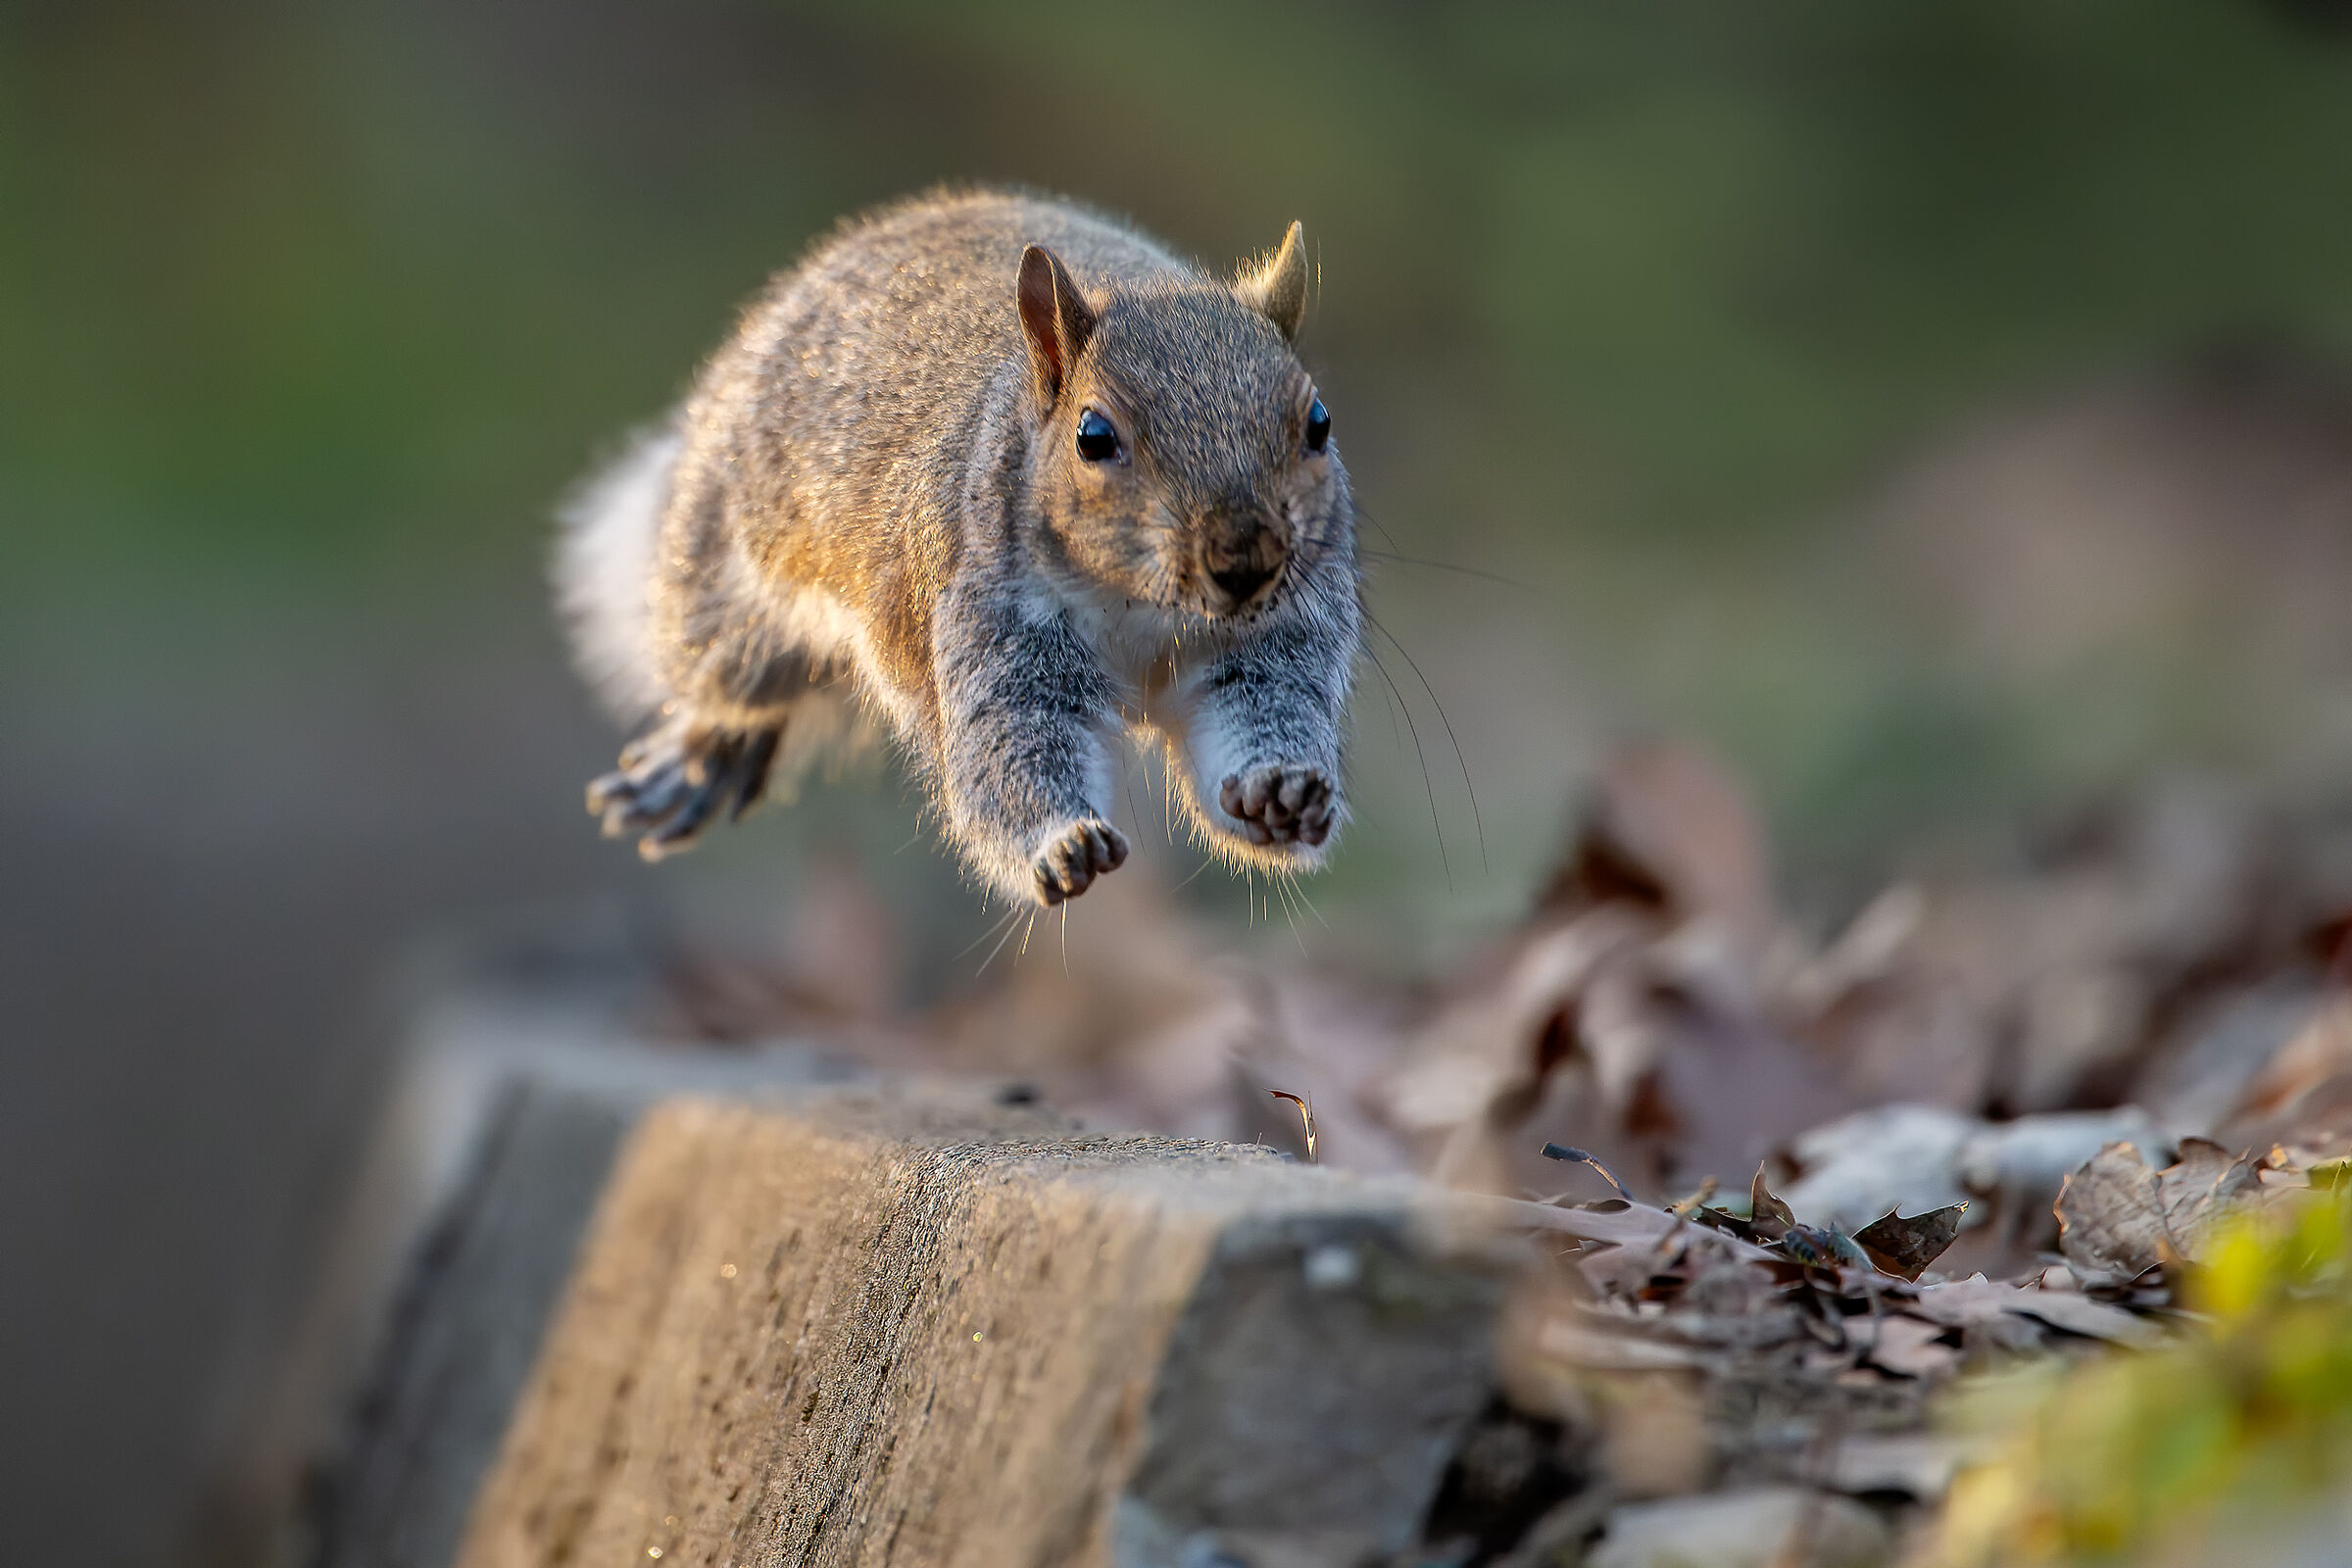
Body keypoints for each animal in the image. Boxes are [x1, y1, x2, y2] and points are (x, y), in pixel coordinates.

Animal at [556, 187, 1362, 907]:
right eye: (1093, 436)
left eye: (1319, 423)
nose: (1245, 562)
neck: (1144, 607)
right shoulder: (988, 625)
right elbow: (1009, 748)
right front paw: (1060, 842)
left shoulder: (1273, 639)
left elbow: (1257, 713)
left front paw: (1280, 794)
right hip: (726, 579)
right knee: (723, 676)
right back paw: (702, 761)